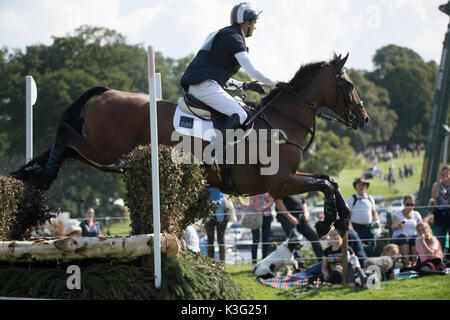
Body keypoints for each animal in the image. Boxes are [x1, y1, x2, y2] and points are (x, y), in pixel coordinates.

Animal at [11, 53, 370, 238]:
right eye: (350, 84)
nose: (364, 118)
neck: (281, 121)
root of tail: (109, 92)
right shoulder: (280, 183)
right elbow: (325, 183)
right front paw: (330, 220)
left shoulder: (289, 178)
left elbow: (328, 180)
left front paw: (336, 219)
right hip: (105, 152)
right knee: (65, 136)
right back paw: (42, 174)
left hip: (103, 157)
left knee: (68, 149)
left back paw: (33, 174)